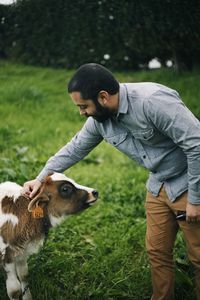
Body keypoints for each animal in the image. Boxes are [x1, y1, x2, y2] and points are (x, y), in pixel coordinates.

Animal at [0, 172, 98, 300]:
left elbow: (24, 275)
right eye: (65, 189)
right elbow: (14, 290)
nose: (95, 192)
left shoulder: (22, 251)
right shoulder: (6, 255)